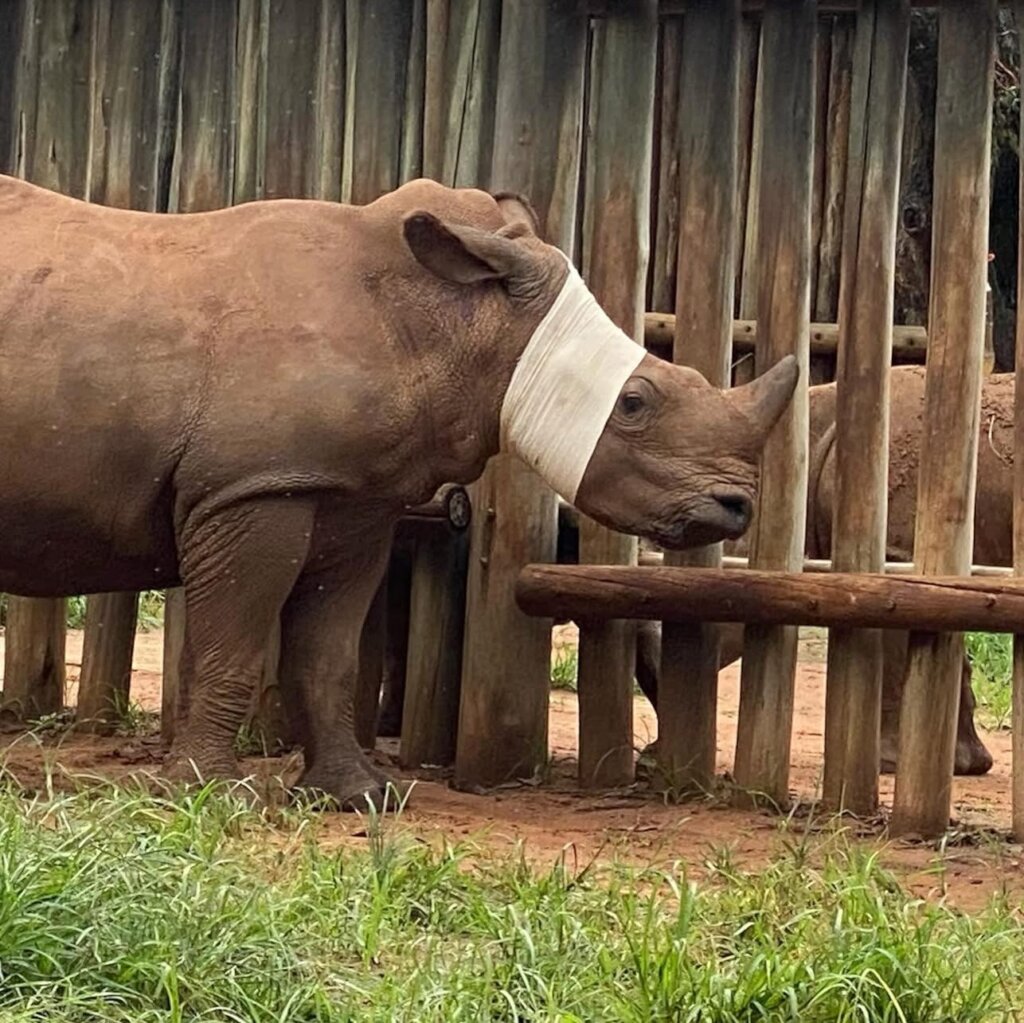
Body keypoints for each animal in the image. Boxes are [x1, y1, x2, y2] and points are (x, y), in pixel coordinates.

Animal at [0, 174, 798, 809]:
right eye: (634, 401)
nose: (737, 507)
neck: (449, 320)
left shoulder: (350, 497)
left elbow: (328, 652)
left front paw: (361, 797)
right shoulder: (253, 487)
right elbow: (235, 640)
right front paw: (206, 794)